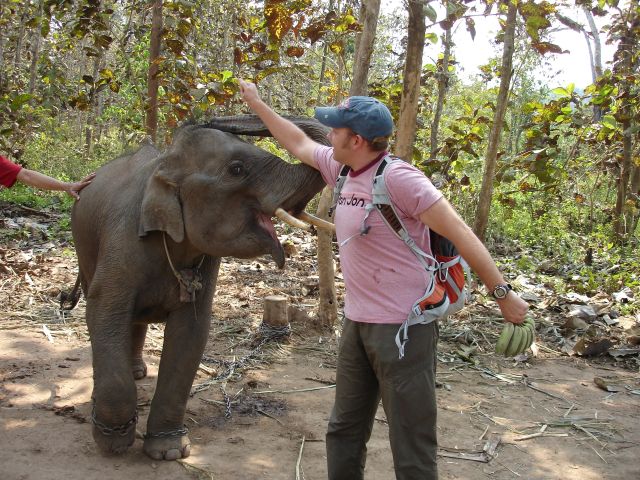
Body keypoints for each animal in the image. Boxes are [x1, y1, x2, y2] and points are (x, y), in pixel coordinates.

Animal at [69, 116, 329, 460]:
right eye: (237, 169)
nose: (207, 119)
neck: (165, 165)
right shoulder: (121, 238)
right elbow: (103, 311)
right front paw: (113, 443)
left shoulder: (206, 260)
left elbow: (191, 331)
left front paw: (168, 451)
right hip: (83, 247)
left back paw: (138, 372)